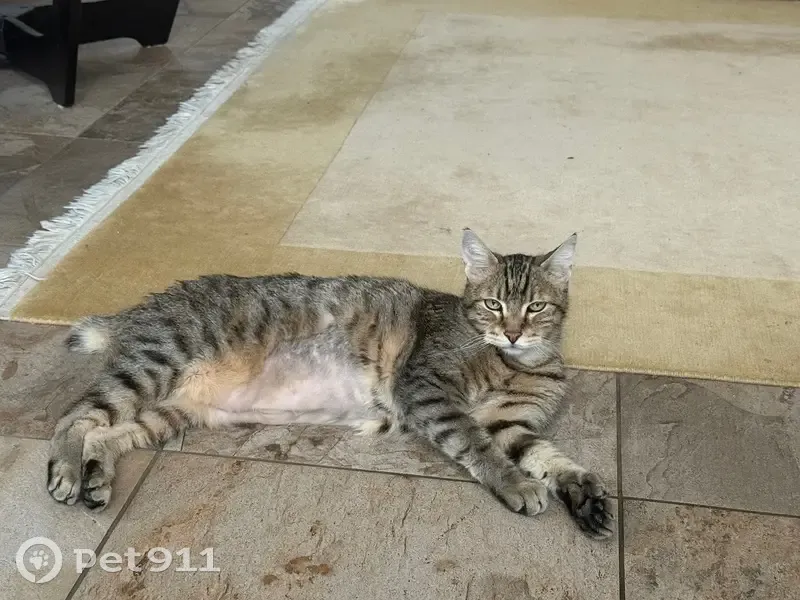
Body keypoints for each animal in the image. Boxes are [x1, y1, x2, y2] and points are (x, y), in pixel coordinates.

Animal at [47, 229, 612, 538]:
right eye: (494, 304)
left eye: (535, 307)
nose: (512, 331)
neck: (515, 361)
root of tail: (148, 303)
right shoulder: (428, 391)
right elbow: (477, 446)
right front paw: (517, 484)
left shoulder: (510, 423)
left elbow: (549, 456)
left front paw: (582, 493)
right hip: (155, 365)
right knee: (72, 416)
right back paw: (68, 474)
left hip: (171, 410)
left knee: (107, 433)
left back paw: (95, 476)